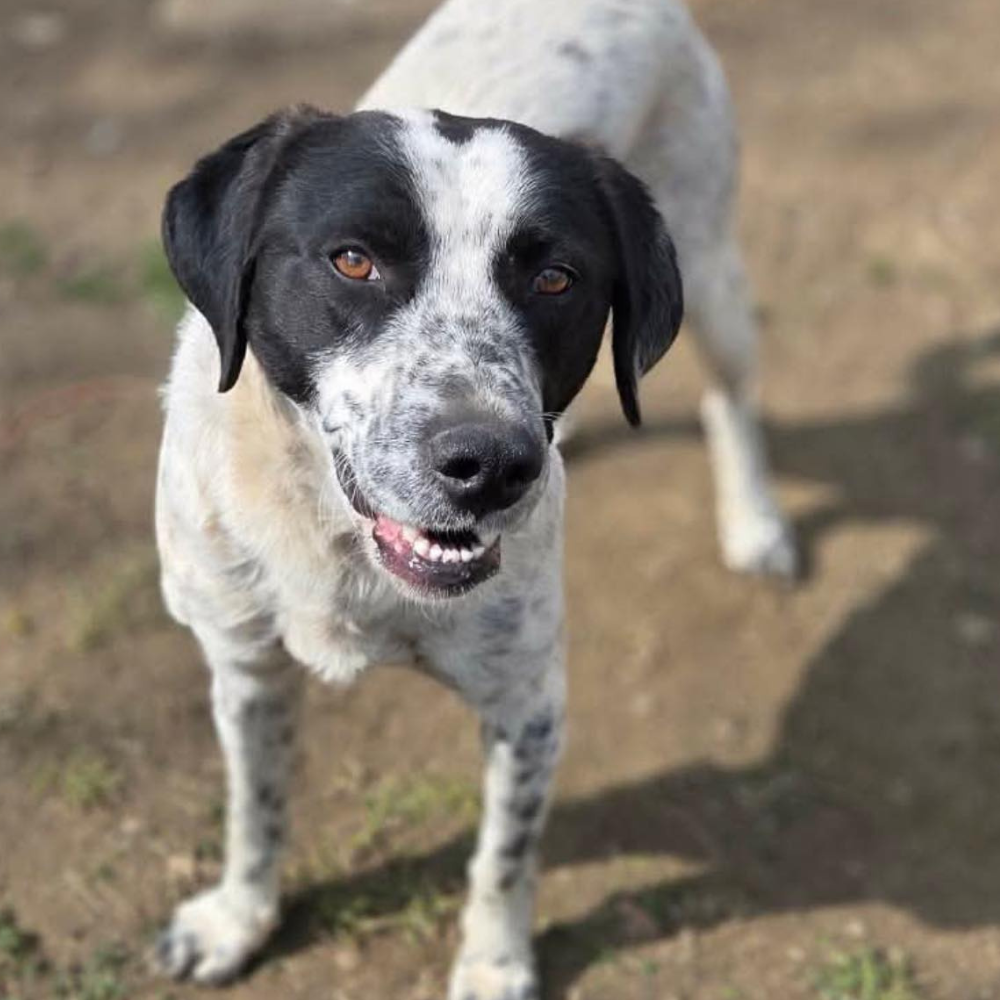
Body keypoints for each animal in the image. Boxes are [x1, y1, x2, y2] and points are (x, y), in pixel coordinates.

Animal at [153, 2, 793, 997]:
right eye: (352, 260)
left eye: (557, 277)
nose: (494, 464)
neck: (340, 547)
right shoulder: (245, 666)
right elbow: (253, 810)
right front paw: (237, 920)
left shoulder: (528, 704)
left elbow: (503, 857)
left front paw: (493, 965)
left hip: (713, 269)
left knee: (733, 398)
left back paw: (754, 525)